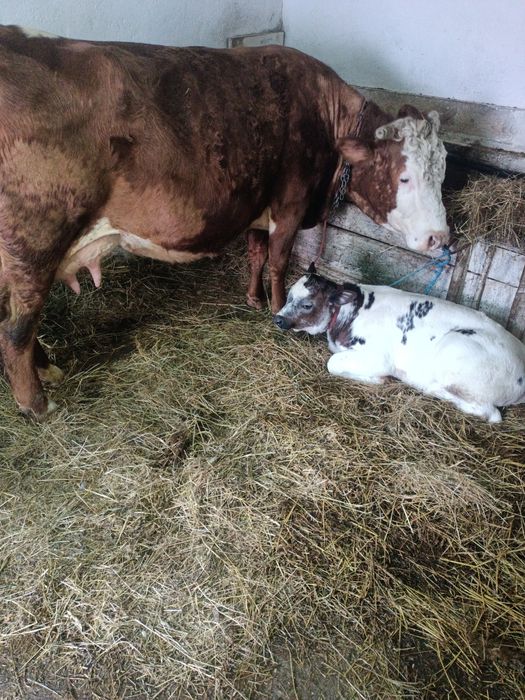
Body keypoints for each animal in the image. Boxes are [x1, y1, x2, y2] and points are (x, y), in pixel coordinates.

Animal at [0, 26, 448, 418]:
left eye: (443, 171)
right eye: (405, 176)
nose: (439, 237)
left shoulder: (258, 202)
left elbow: (256, 253)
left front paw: (252, 298)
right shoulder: (290, 201)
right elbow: (279, 260)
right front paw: (277, 307)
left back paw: (47, 370)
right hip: (35, 242)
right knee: (17, 329)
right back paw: (36, 403)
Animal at [274, 264, 525, 423]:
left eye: (307, 305)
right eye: (289, 296)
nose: (278, 318)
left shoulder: (377, 358)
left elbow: (333, 363)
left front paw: (379, 380)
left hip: (455, 349)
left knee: (490, 414)